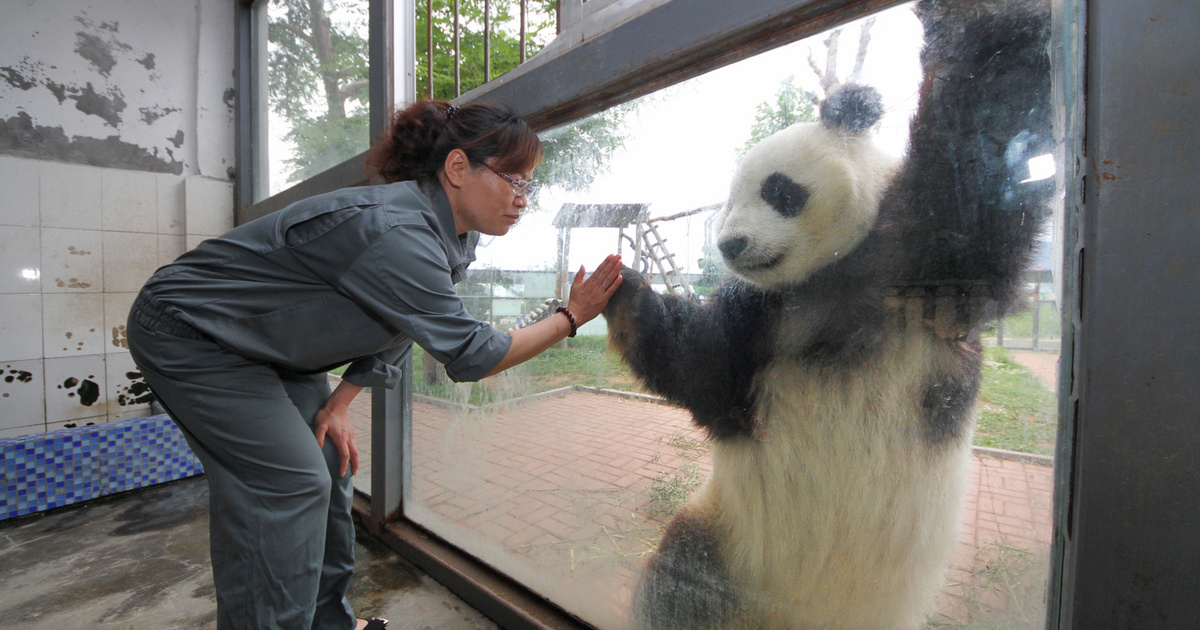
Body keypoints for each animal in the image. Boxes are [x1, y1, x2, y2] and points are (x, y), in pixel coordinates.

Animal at [604, 1, 1056, 628]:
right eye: (728, 199)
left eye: (778, 190)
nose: (731, 246)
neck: (832, 275)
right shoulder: (766, 315)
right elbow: (708, 369)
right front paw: (623, 292)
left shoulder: (915, 262)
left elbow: (976, 184)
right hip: (722, 542)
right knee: (678, 584)